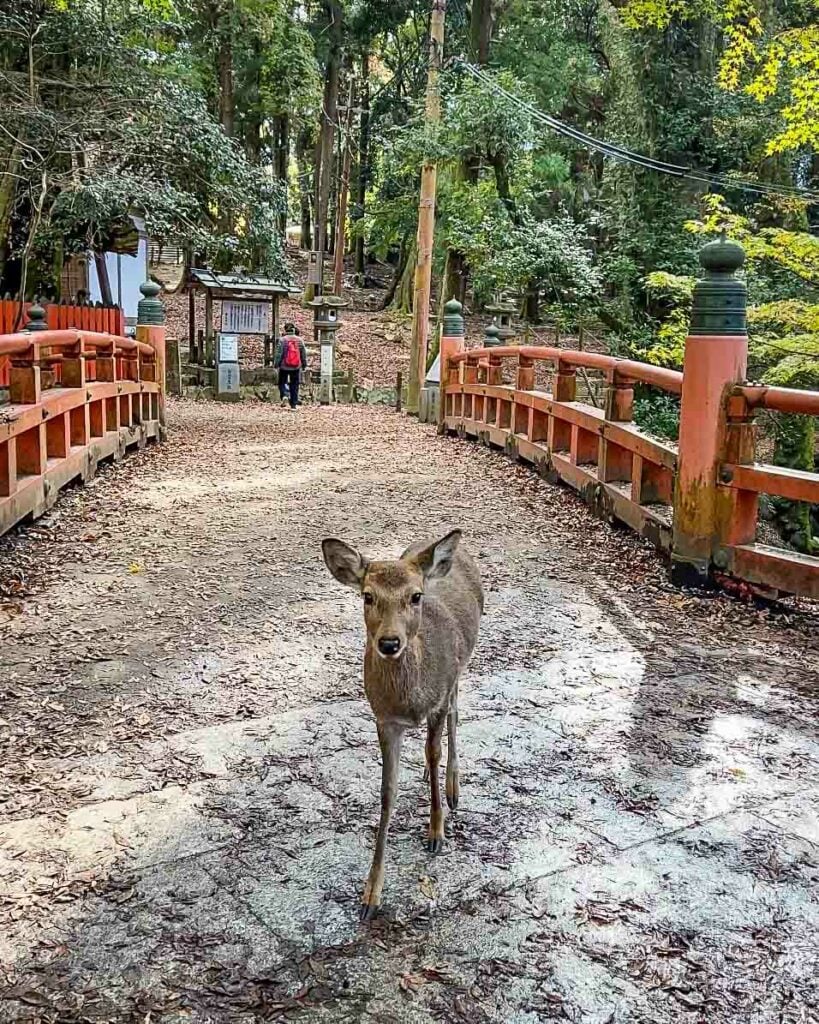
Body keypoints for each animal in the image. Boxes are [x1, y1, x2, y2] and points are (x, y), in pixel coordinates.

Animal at [321, 528, 487, 921]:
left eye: (415, 596)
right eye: (367, 595)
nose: (389, 642)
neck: (410, 700)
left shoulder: (438, 699)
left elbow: (434, 750)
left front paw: (436, 834)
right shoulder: (383, 719)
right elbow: (387, 791)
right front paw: (370, 895)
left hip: (460, 669)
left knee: (455, 714)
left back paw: (453, 787)